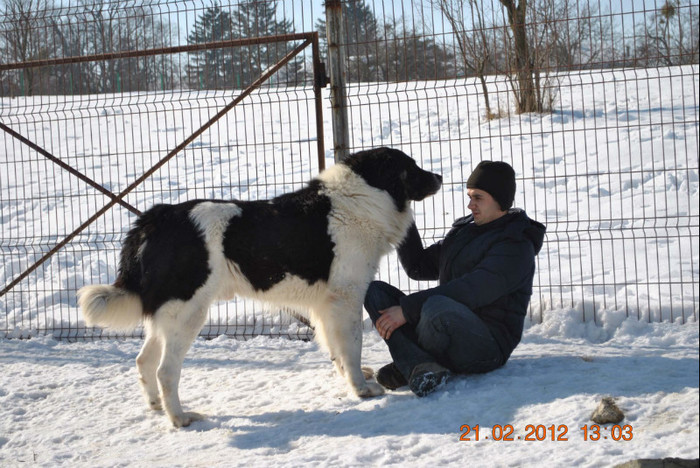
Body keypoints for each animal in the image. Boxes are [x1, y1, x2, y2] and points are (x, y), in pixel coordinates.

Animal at [76, 147, 438, 428]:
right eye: (411, 167)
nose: (440, 177)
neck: (361, 197)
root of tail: (154, 219)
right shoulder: (346, 298)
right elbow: (352, 345)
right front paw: (361, 389)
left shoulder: (325, 305)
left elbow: (335, 348)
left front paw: (350, 377)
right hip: (188, 314)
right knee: (166, 371)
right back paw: (179, 418)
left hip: (168, 315)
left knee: (144, 362)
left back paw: (156, 407)